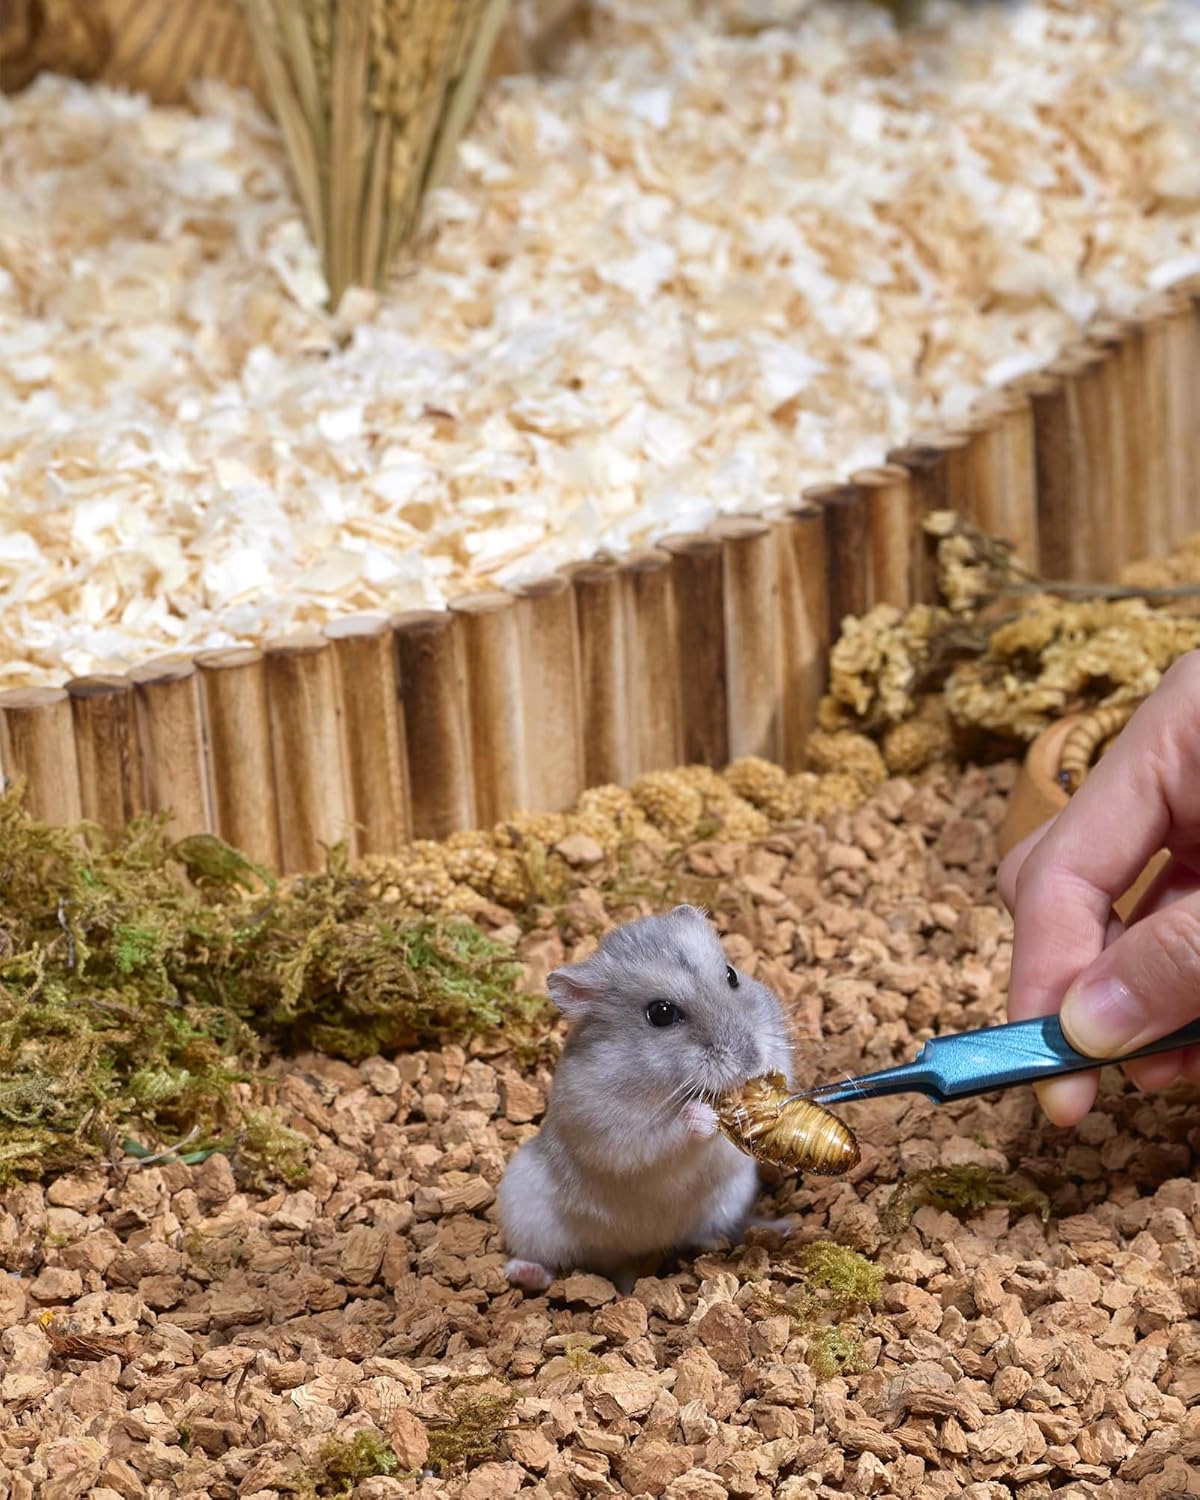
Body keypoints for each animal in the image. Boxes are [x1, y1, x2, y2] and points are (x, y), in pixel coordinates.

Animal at [498, 904, 795, 1293]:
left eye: (731, 975)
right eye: (661, 1013)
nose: (751, 1059)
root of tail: (629, 1257)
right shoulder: (612, 1134)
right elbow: (660, 1140)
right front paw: (702, 1116)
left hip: (729, 1197)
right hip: (525, 1205)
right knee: (547, 1265)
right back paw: (522, 1272)